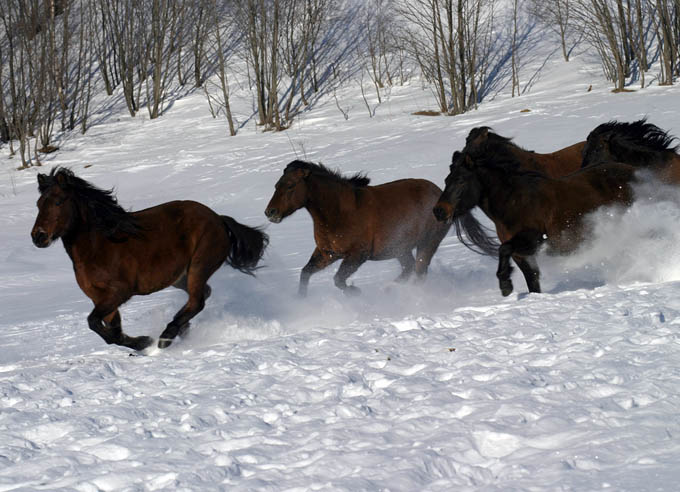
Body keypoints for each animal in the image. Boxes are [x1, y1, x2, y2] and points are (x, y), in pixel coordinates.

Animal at [31, 168, 268, 350]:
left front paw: (145, 341)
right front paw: (140, 343)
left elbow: (94, 323)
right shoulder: (100, 299)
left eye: (59, 202)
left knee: (197, 301)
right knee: (202, 296)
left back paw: (167, 336)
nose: (38, 236)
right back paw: (179, 330)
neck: (98, 246)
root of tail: (218, 218)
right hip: (180, 277)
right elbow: (110, 330)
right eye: (39, 203)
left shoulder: (119, 293)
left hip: (199, 266)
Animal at [264, 160, 452, 294]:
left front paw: (355, 292)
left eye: (290, 185)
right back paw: (390, 288)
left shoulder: (358, 255)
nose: (270, 212)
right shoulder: (327, 254)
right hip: (400, 249)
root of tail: (439, 193)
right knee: (409, 268)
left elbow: (338, 280)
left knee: (419, 271)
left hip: (428, 243)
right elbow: (305, 273)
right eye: (276, 186)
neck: (339, 213)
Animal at [432, 150, 636, 296]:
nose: (439, 211)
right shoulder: (522, 254)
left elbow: (504, 249)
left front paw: (505, 285)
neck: (513, 203)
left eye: (461, 181)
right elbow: (532, 279)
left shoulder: (534, 239)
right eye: (446, 180)